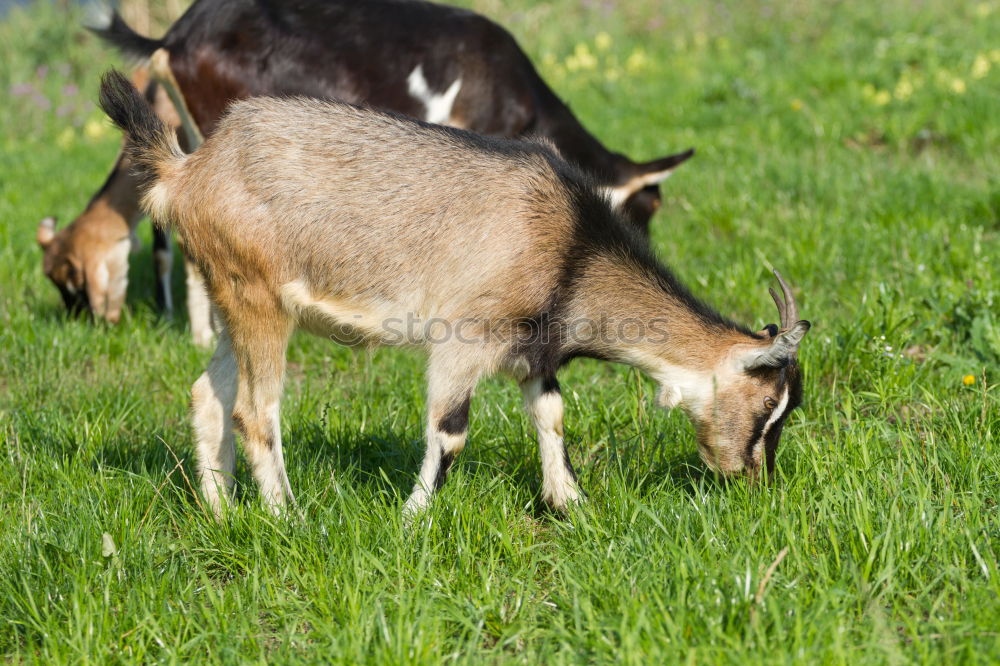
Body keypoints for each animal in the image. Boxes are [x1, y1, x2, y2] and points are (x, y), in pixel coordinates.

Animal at [97, 68, 808, 512]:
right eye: (767, 405)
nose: (754, 480)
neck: (571, 246)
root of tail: (188, 172)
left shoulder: (532, 352)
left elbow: (551, 413)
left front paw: (570, 503)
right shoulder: (463, 340)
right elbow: (450, 430)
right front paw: (413, 517)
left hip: (228, 300)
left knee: (208, 396)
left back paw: (221, 512)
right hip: (257, 298)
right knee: (253, 410)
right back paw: (286, 517)